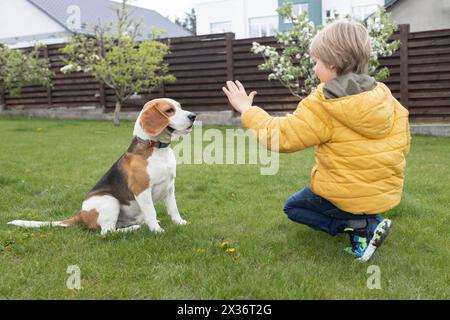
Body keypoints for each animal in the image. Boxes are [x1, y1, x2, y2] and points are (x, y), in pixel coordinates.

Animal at [7, 99, 196, 236]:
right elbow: (152, 212)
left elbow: (174, 209)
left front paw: (180, 223)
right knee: (107, 232)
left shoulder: (170, 187)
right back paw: (134, 229)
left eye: (180, 107)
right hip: (110, 201)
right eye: (169, 110)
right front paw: (157, 231)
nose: (193, 116)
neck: (157, 149)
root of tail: (81, 214)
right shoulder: (142, 190)